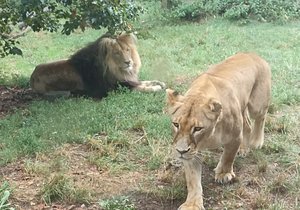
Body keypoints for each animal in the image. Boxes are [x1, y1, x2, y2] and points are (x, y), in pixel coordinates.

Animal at [29, 33, 166, 98]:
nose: (128, 62)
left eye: (127, 50)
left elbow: (144, 81)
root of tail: (32, 76)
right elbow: (141, 87)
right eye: (117, 53)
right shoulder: (114, 88)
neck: (116, 70)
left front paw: (160, 83)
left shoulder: (127, 80)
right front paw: (156, 88)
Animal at [165, 52, 270, 208]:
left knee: (260, 117)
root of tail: (252, 53)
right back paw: (244, 148)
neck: (208, 137)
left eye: (197, 128)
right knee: (247, 123)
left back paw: (256, 142)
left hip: (257, 104)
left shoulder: (234, 137)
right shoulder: (191, 152)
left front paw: (223, 174)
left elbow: (228, 156)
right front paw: (192, 204)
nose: (180, 151)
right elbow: (193, 180)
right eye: (176, 124)